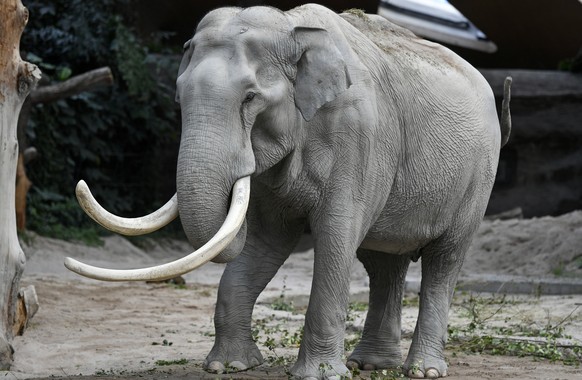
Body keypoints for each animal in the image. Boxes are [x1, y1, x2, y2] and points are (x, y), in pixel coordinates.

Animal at [65, 3, 512, 380]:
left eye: (250, 98)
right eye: (179, 97)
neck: (293, 27)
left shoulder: (359, 137)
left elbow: (336, 234)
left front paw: (318, 375)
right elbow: (267, 239)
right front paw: (230, 366)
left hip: (479, 179)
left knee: (443, 261)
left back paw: (422, 371)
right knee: (384, 262)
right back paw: (370, 365)